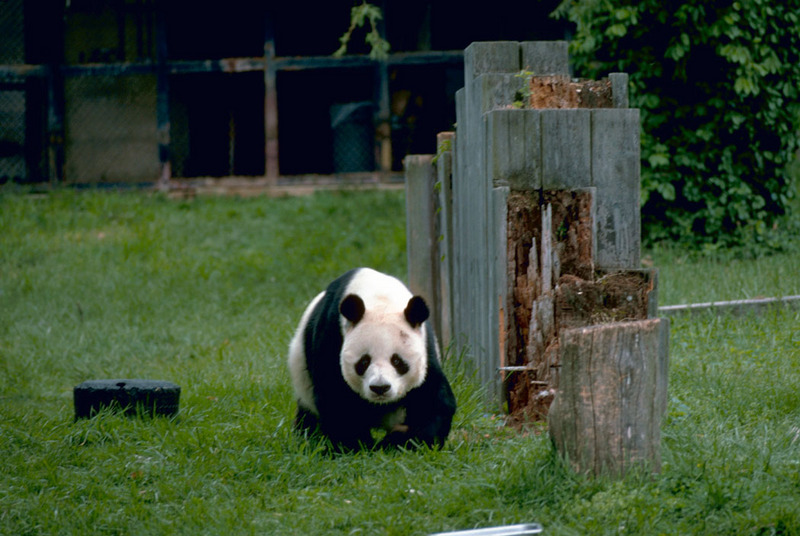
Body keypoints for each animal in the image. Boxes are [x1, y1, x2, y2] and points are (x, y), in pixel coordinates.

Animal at [290, 266, 456, 450]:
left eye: (397, 361)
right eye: (364, 361)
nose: (380, 388)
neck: (380, 300)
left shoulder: (426, 350)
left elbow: (433, 401)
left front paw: (401, 441)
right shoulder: (331, 335)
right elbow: (336, 399)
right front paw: (356, 445)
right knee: (308, 413)